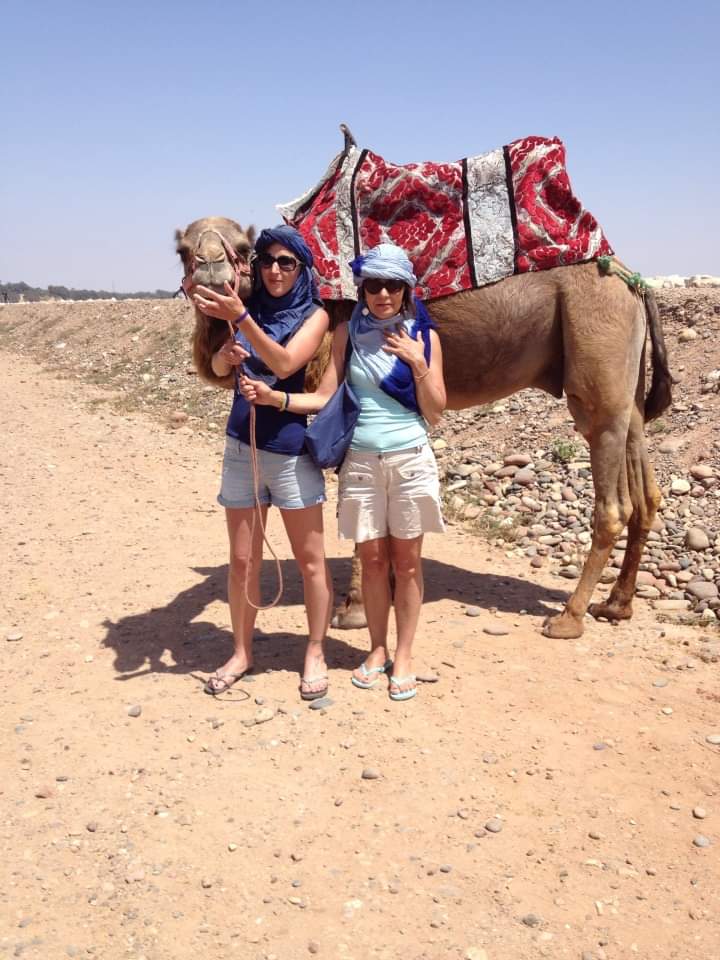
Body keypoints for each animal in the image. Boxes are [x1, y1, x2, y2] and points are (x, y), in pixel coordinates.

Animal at [176, 216, 672, 640]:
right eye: (183, 250)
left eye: (244, 250)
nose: (212, 270)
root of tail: (632, 281)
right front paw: (386, 586)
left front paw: (355, 608)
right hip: (625, 381)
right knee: (645, 485)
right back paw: (617, 604)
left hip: (596, 343)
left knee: (612, 495)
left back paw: (569, 617)